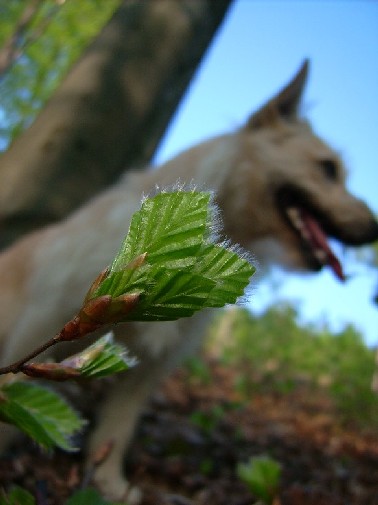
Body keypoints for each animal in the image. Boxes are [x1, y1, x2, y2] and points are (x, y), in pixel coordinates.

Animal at [0, 61, 378, 498]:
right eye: (328, 168)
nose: (373, 231)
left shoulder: (154, 362)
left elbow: (119, 424)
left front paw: (110, 482)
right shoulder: (43, 319)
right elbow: (14, 389)